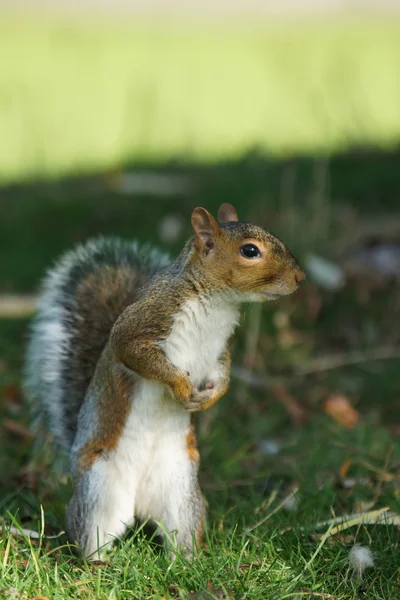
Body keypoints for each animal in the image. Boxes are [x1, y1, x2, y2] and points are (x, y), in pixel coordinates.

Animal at [25, 202, 304, 556]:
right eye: (250, 251)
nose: (300, 277)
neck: (218, 304)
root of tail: (139, 504)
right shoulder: (144, 322)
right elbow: (135, 352)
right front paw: (181, 387)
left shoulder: (219, 349)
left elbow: (223, 374)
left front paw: (209, 398)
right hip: (99, 490)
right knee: (92, 533)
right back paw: (99, 562)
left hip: (181, 492)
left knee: (179, 533)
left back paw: (187, 560)